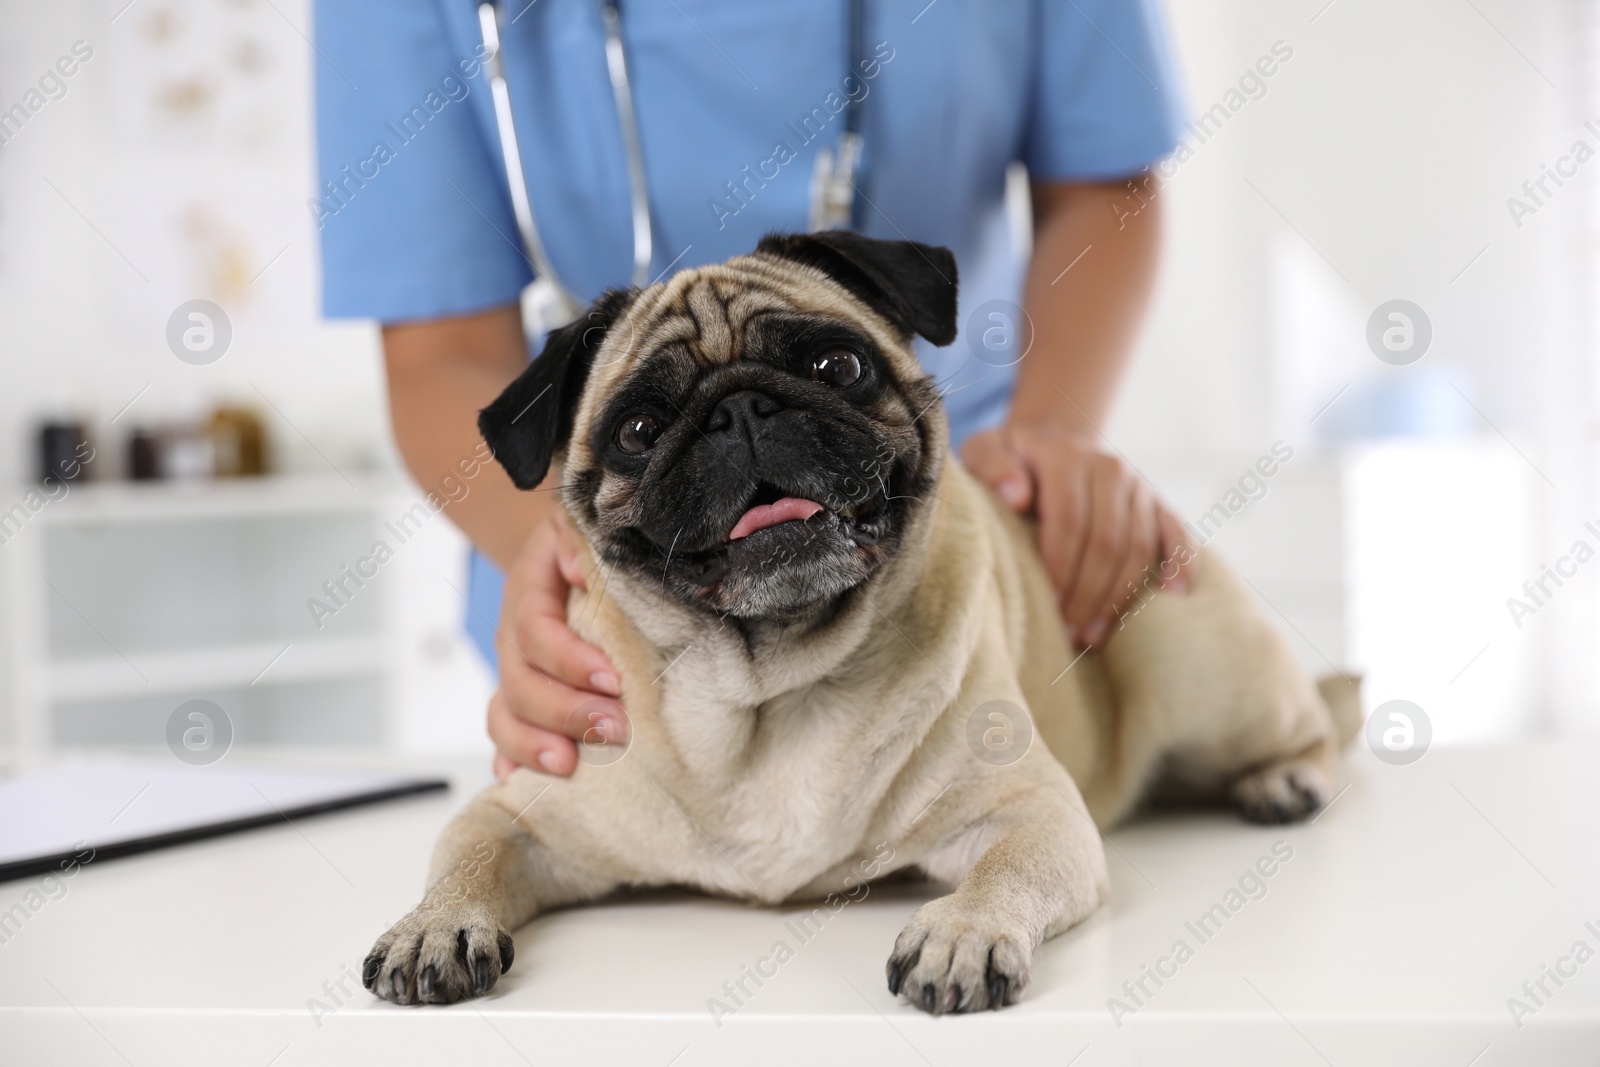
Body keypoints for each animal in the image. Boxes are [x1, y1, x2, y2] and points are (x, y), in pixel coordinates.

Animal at [366, 230, 1363, 1017]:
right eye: (640, 429)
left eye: (834, 367)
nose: (740, 407)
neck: (767, 691)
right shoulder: (524, 812)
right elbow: (465, 853)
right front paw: (431, 925)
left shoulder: (1029, 811)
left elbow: (1003, 870)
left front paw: (962, 931)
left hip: (1201, 667)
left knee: (1323, 719)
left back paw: (1286, 779)